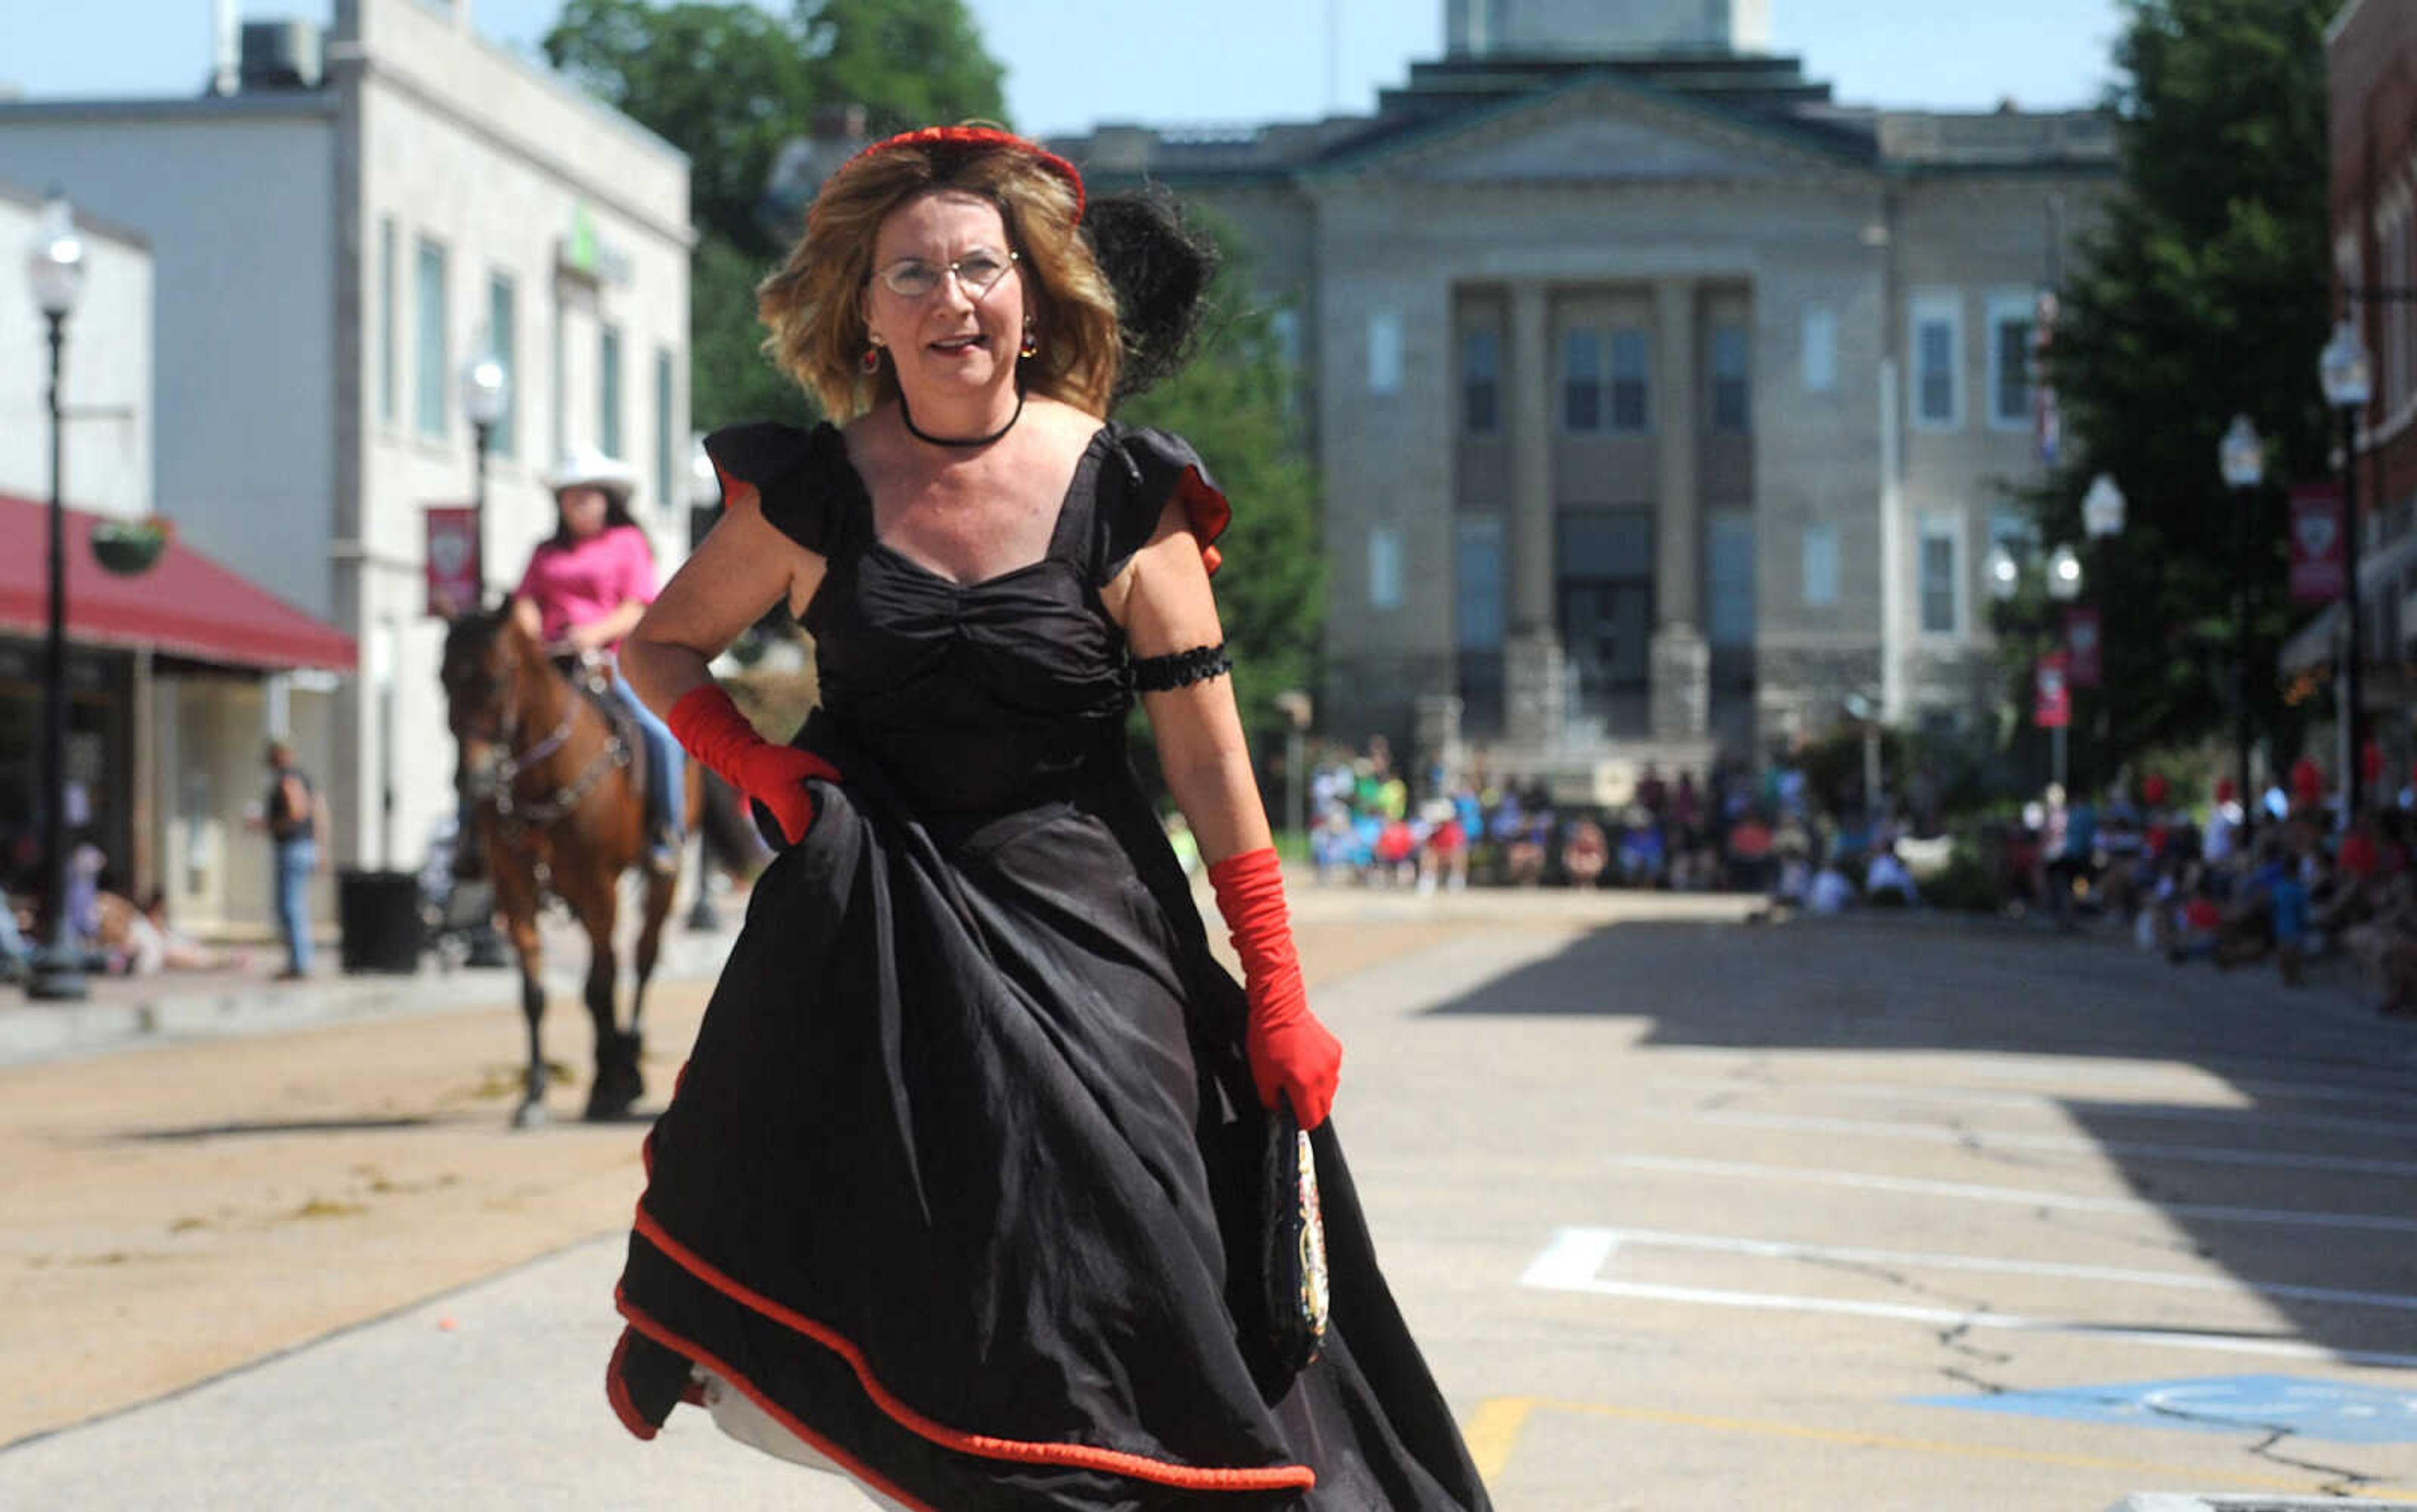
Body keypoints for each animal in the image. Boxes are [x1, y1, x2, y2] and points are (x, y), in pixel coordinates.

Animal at [437, 606, 677, 1126]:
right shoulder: (514, 889)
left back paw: (628, 1059)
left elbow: (599, 987)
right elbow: (534, 993)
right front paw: (534, 1094)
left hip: (662, 877)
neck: (540, 779)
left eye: (496, 678)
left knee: (643, 958)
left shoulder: (599, 889)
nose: (472, 778)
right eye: (442, 677)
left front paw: (609, 1086)